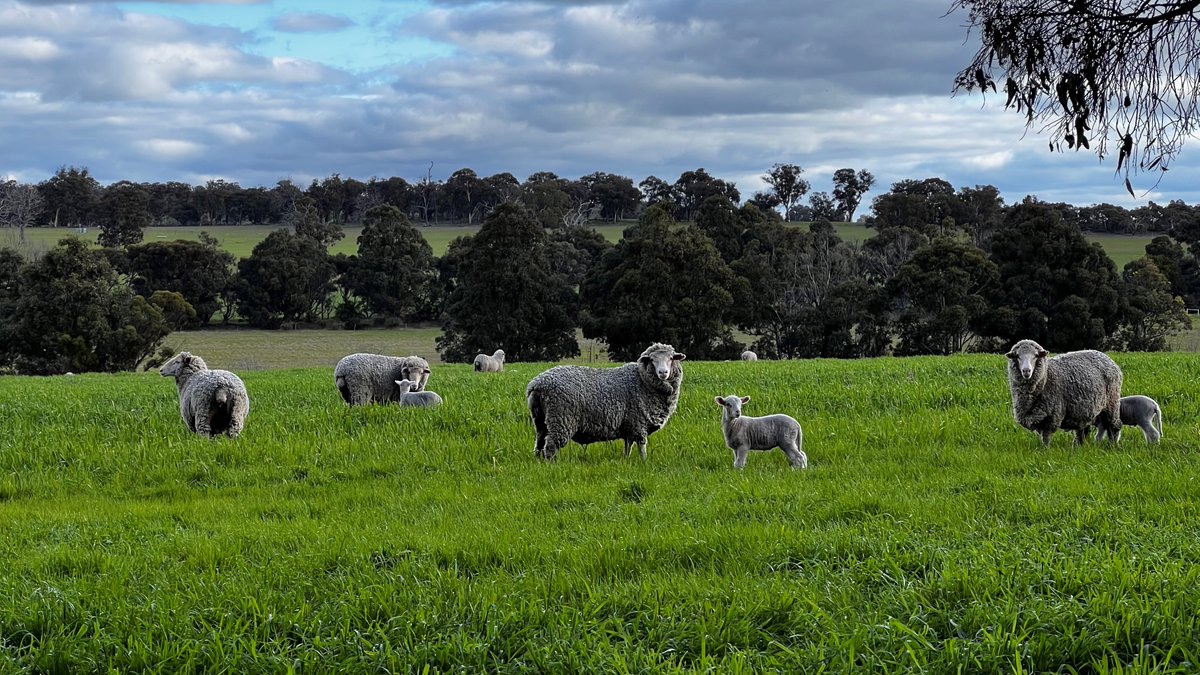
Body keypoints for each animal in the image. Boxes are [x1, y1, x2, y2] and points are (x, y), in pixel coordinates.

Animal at [526, 342, 686, 461]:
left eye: (671, 358)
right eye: (652, 360)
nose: (663, 373)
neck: (642, 381)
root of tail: (537, 384)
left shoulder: (629, 424)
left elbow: (628, 445)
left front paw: (626, 460)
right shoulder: (639, 422)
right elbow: (641, 445)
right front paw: (644, 462)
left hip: (540, 420)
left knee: (539, 443)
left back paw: (539, 462)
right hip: (561, 418)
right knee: (550, 446)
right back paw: (551, 465)